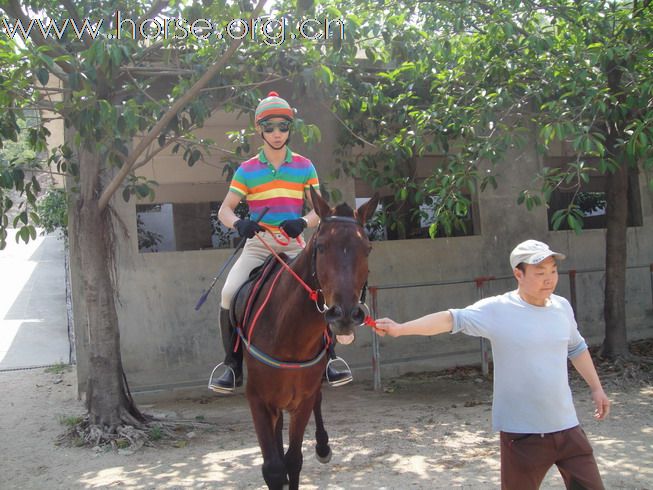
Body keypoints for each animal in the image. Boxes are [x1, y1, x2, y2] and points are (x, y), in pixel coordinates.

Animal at [233, 189, 376, 490]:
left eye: (367, 249)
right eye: (321, 246)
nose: (345, 313)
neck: (289, 334)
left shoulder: (303, 401)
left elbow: (293, 460)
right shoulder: (258, 400)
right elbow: (274, 468)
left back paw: (323, 446)